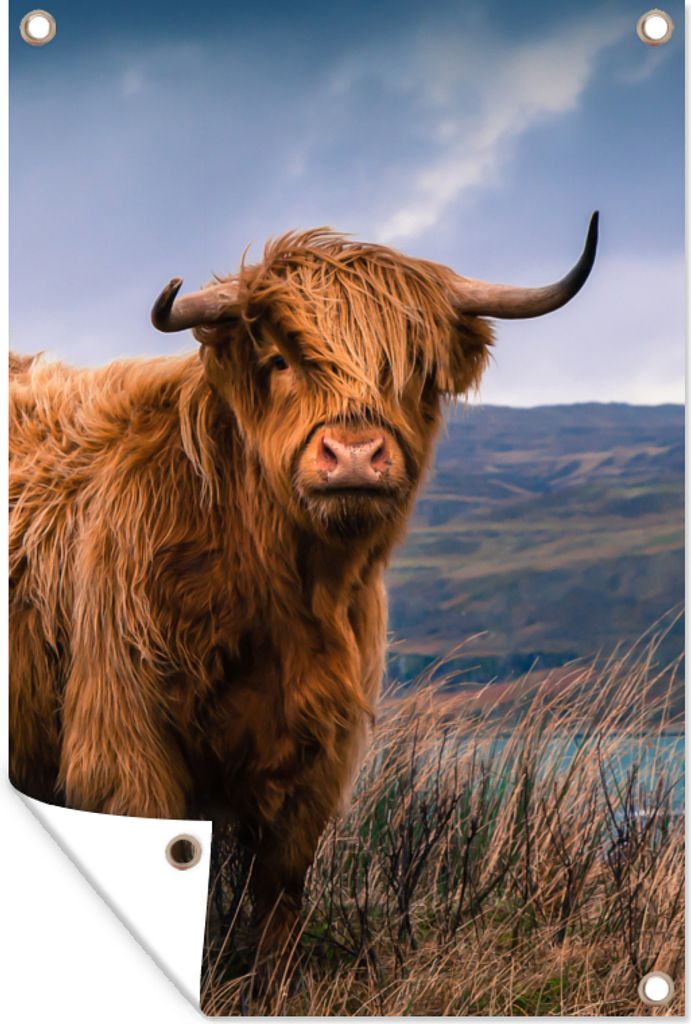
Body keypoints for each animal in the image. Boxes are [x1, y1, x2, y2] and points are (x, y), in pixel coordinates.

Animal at [9, 216, 598, 951]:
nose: (354, 456)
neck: (279, 591)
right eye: (280, 360)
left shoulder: (319, 752)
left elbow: (281, 888)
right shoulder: (122, 732)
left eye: (415, 369)